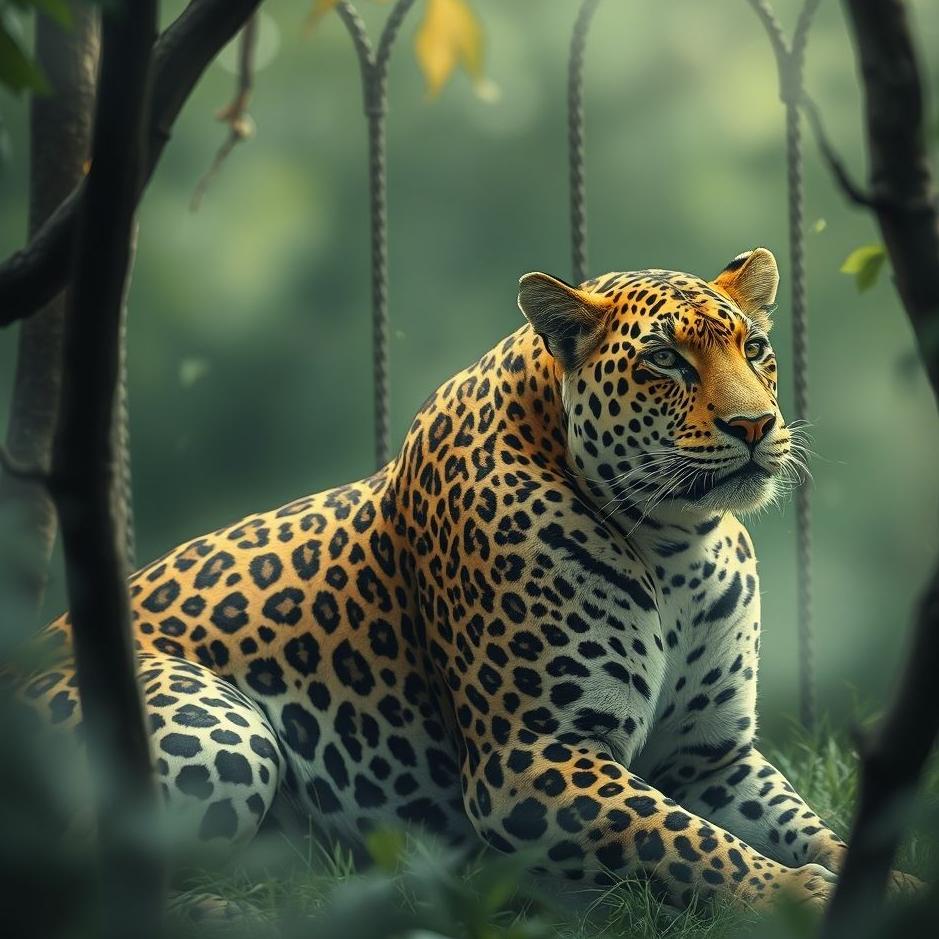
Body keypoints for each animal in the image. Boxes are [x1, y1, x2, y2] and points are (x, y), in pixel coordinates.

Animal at [19, 247, 920, 911]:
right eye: (665, 359)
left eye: (754, 349)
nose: (755, 425)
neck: (676, 548)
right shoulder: (530, 755)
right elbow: (682, 839)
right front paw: (793, 897)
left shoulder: (713, 756)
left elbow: (801, 822)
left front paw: (887, 881)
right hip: (217, 727)